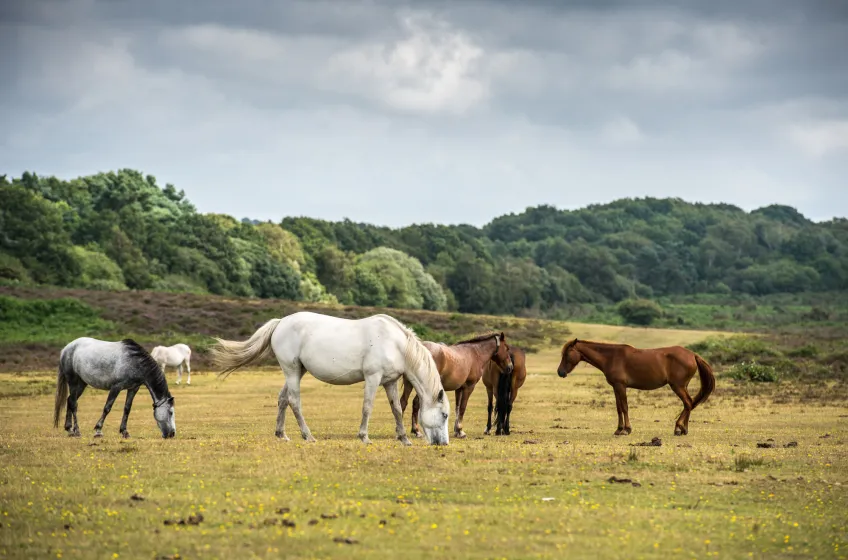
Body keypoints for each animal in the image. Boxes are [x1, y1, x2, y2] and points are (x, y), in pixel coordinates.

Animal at [210, 311, 451, 445]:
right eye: (445, 415)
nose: (444, 444)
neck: (395, 343)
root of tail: (280, 323)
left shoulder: (389, 381)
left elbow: (397, 409)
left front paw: (404, 438)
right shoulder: (372, 378)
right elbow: (367, 407)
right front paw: (364, 436)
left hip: (296, 371)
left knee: (282, 399)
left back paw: (282, 434)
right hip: (291, 371)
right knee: (294, 401)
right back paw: (307, 435)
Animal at [556, 339, 716, 436]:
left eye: (567, 354)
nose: (560, 372)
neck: (611, 357)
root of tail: (693, 355)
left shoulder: (621, 386)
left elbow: (624, 407)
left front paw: (626, 429)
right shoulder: (616, 387)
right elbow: (619, 408)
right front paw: (619, 429)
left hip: (678, 386)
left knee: (688, 403)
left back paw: (678, 428)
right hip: (682, 386)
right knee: (689, 404)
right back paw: (684, 429)